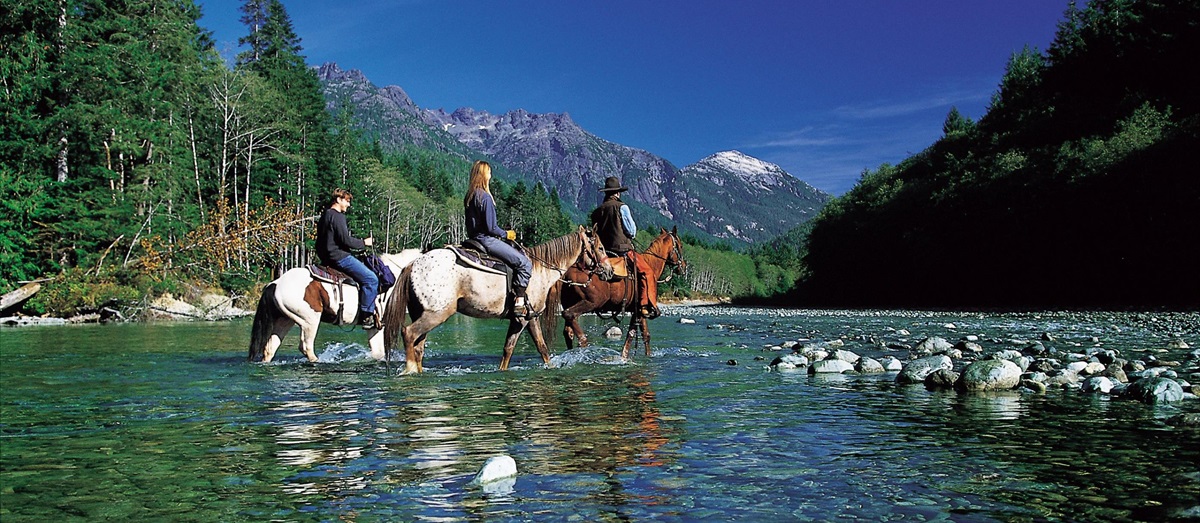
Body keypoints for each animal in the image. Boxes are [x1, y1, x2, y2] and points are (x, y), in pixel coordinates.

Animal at [248, 250, 422, 363]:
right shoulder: (380, 323)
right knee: (306, 347)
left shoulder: (374, 326)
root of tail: (276, 283)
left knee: (270, 348)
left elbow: (377, 352)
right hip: (310, 320)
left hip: (285, 320)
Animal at [383, 226, 611, 374]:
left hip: (421, 313)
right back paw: (410, 370)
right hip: (437, 314)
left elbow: (526, 348)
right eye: (600, 248)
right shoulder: (523, 319)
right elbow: (526, 347)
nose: (609, 271)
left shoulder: (529, 317)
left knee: (418, 347)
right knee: (409, 333)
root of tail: (413, 264)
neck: (541, 270)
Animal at [560, 226, 686, 360]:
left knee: (568, 331)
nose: (683, 267)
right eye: (680, 245)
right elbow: (631, 335)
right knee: (569, 315)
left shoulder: (640, 310)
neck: (651, 264)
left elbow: (645, 335)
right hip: (591, 302)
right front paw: (624, 357)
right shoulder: (638, 311)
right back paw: (583, 343)